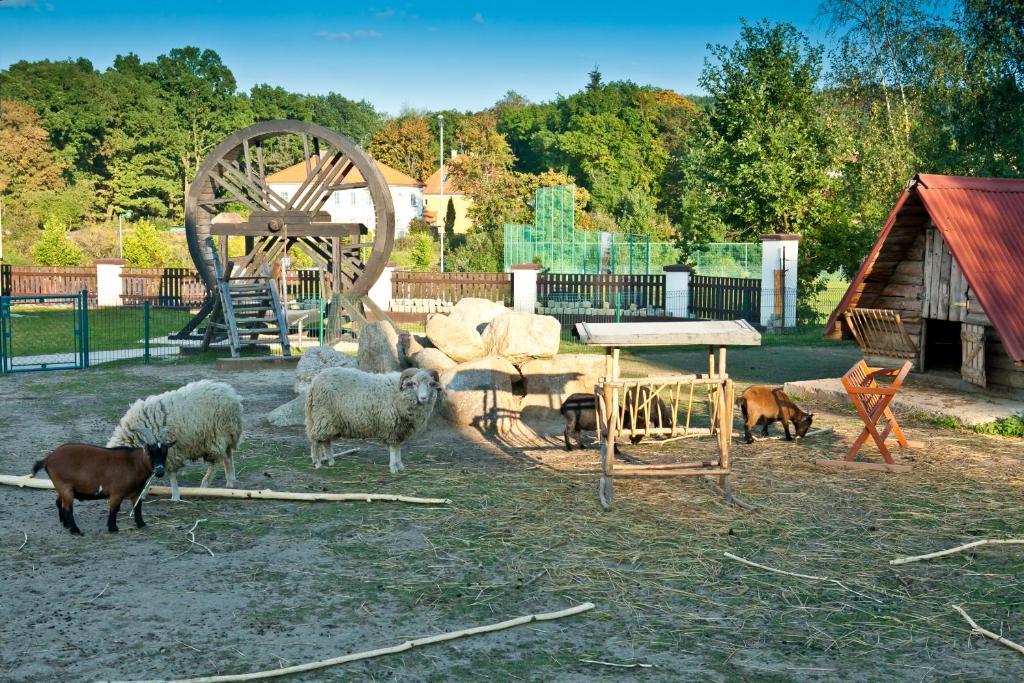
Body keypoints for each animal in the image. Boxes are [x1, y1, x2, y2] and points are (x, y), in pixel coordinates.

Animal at [30, 428, 173, 532]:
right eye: (149, 452)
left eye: (165, 453)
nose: (160, 471)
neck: (133, 463)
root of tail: (48, 458)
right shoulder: (117, 492)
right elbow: (114, 508)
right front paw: (113, 528)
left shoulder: (136, 493)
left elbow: (138, 508)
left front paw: (142, 524)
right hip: (65, 487)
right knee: (67, 507)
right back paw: (75, 530)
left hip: (62, 488)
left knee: (58, 502)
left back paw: (65, 524)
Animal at [107, 382, 242, 499]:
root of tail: (231, 392)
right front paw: (143, 493)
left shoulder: (169, 451)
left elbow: (171, 474)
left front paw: (175, 496)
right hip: (227, 434)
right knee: (228, 456)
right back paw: (231, 480)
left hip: (216, 436)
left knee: (215, 463)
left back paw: (204, 485)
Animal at [307, 366, 444, 473]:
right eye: (414, 383)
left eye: (431, 384)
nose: (424, 398)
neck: (401, 392)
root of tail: (315, 380)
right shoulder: (390, 426)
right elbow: (393, 449)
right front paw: (393, 467)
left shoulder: (400, 428)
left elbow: (398, 448)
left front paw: (400, 465)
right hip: (323, 415)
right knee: (315, 439)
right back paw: (317, 462)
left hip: (329, 420)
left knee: (326, 440)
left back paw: (331, 460)